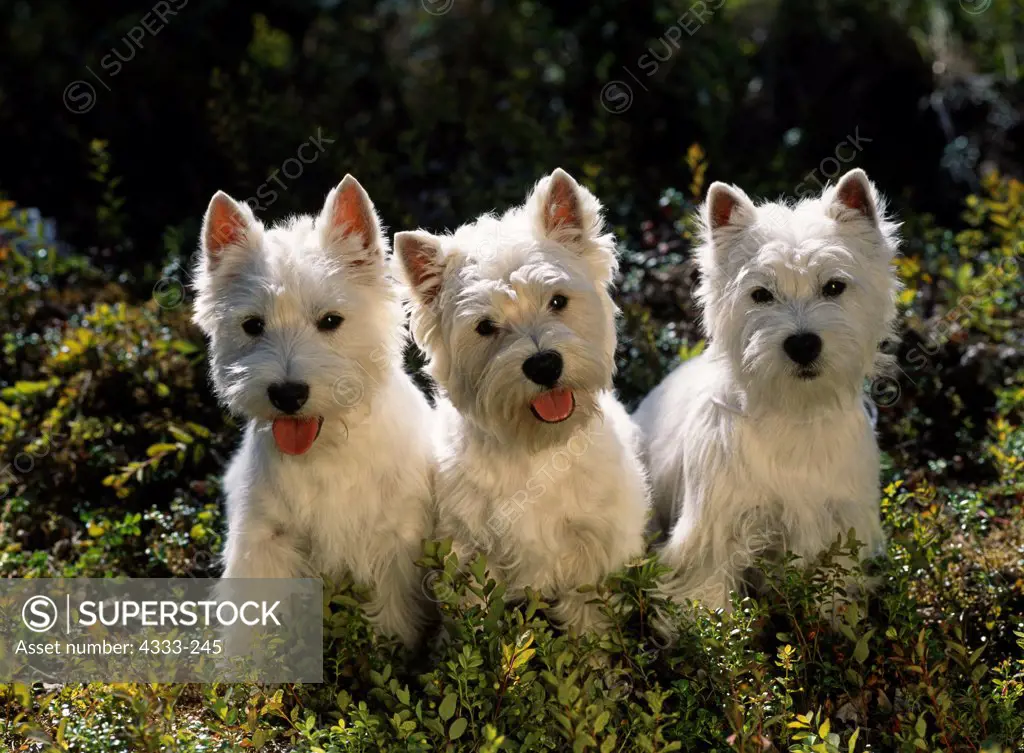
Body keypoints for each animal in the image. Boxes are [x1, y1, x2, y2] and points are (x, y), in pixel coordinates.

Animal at [193, 176, 434, 647]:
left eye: (330, 320)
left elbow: (392, 619)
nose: (287, 394)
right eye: (252, 325)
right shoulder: (263, 540)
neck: (326, 452)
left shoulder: (393, 545)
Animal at [391, 168, 647, 635]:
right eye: (485, 326)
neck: (535, 447)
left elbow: (591, 625)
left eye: (558, 300)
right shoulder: (469, 553)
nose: (544, 365)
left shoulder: (591, 552)